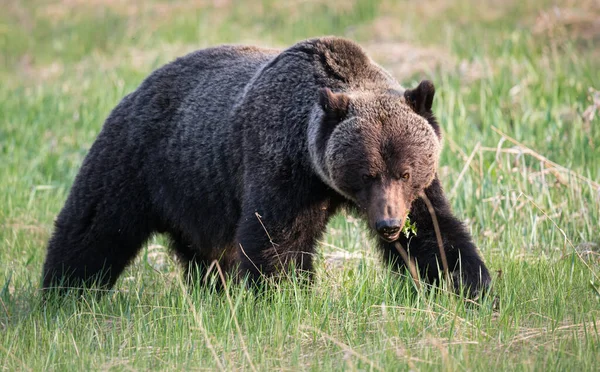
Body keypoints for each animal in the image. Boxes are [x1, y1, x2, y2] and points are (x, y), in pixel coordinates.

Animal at [42, 37, 492, 296]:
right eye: (366, 173)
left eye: (405, 171)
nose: (388, 225)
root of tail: (138, 87)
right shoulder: (280, 164)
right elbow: (277, 238)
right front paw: (283, 295)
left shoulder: (418, 191)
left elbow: (436, 233)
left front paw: (469, 287)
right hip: (140, 162)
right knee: (94, 227)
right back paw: (63, 291)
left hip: (196, 197)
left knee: (206, 255)